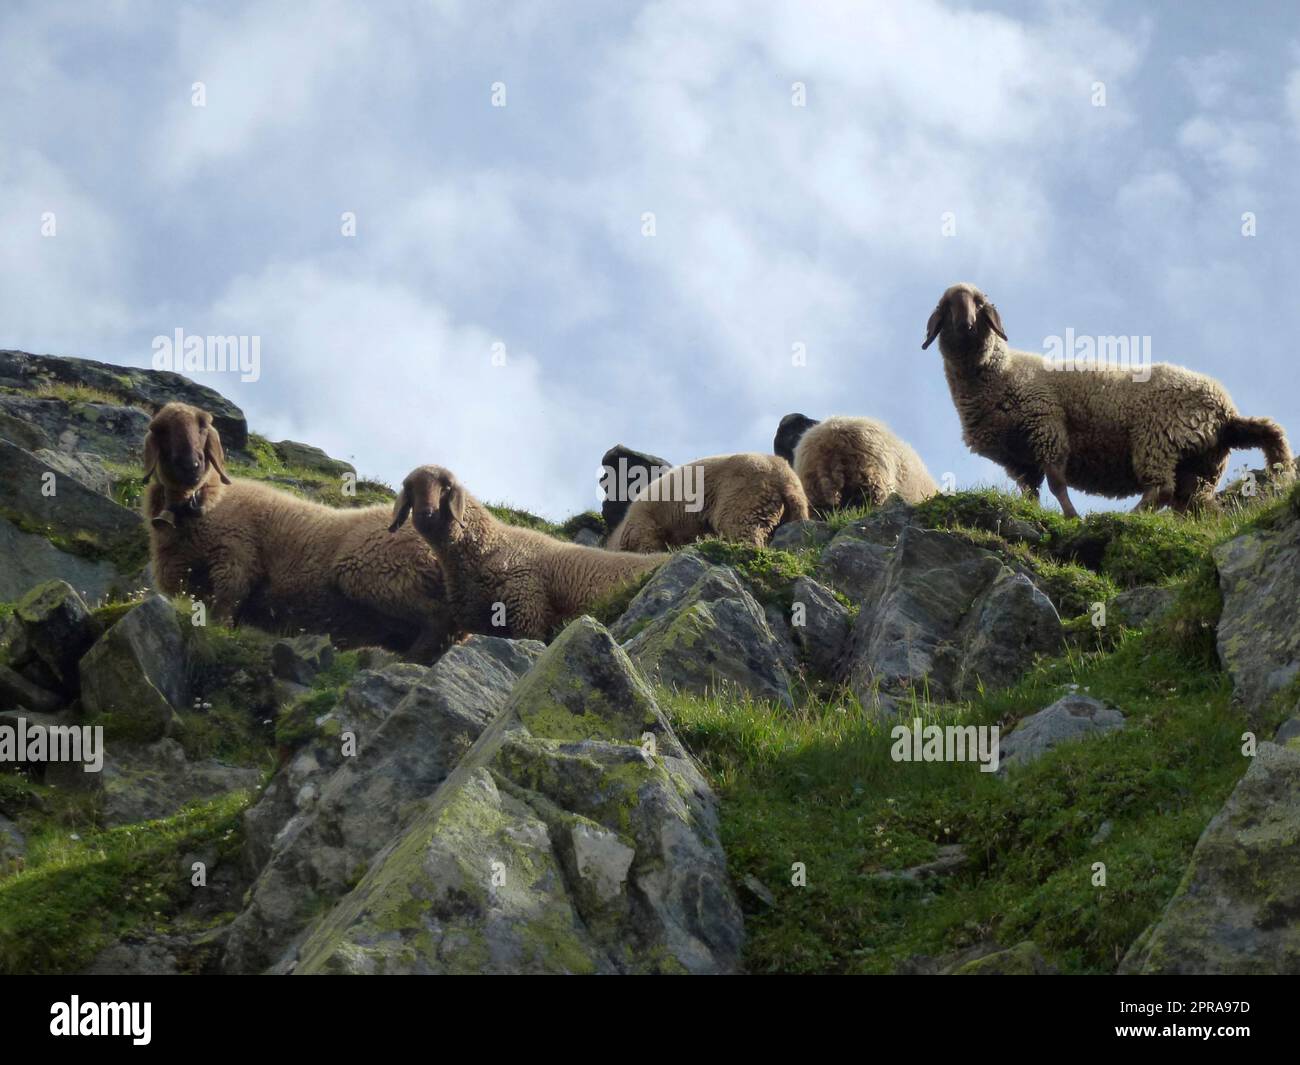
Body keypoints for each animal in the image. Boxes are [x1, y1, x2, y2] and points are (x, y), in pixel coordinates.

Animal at [142, 402, 454, 660]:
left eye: (203, 426)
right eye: (161, 430)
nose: (191, 465)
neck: (208, 501)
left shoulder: (235, 560)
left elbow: (224, 610)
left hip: (377, 571)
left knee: (440, 619)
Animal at [922, 282, 1294, 516]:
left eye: (979, 303)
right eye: (947, 306)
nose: (966, 323)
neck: (1001, 372)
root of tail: (1227, 415)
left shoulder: (1047, 429)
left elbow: (1057, 483)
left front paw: (1072, 517)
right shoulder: (1019, 459)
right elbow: (1030, 493)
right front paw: (1035, 511)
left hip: (1158, 438)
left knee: (1161, 489)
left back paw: (1131, 516)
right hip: (1200, 465)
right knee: (1195, 503)